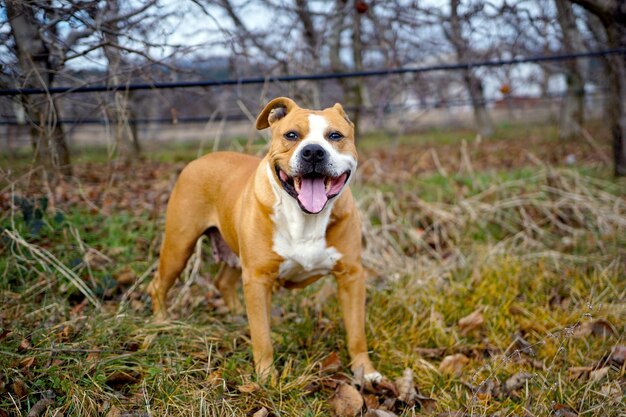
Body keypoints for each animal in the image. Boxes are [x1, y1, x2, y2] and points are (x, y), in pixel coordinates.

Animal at [147, 96, 380, 382]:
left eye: (335, 135)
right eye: (291, 135)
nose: (314, 152)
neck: (306, 218)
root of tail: (200, 159)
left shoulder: (351, 276)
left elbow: (356, 332)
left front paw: (365, 372)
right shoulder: (258, 278)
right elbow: (262, 336)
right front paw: (267, 378)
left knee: (223, 281)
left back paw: (237, 314)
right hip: (179, 246)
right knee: (158, 285)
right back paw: (161, 323)